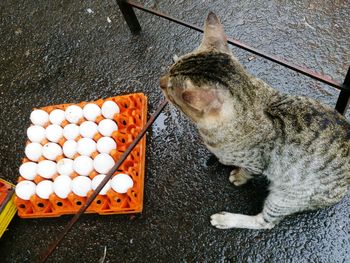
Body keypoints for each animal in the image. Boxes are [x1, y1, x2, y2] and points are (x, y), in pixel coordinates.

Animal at [159, 12, 350, 230]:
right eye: (169, 70)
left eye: (171, 92)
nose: (160, 81)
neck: (252, 99)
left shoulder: (257, 163)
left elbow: (248, 171)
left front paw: (239, 175)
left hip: (285, 197)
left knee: (264, 222)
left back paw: (227, 219)